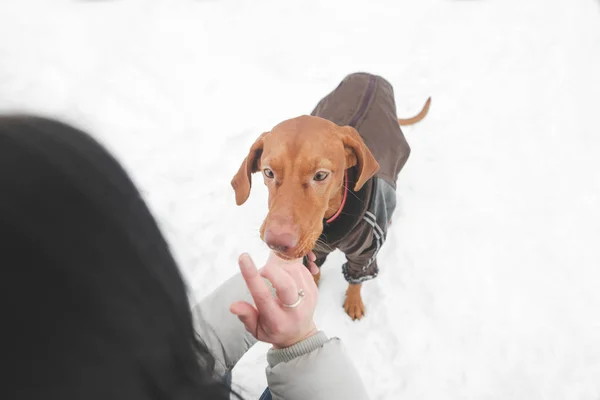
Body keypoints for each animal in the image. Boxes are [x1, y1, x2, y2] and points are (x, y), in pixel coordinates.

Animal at [231, 72, 432, 320]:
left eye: (320, 175)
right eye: (268, 172)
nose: (276, 243)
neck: (333, 216)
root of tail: (371, 75)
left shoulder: (365, 254)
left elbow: (356, 280)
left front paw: (354, 302)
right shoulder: (314, 249)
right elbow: (313, 270)